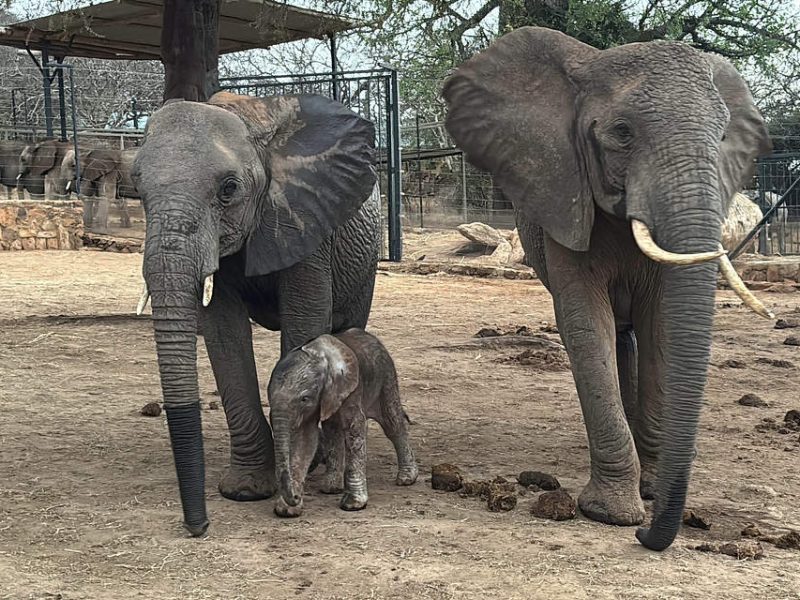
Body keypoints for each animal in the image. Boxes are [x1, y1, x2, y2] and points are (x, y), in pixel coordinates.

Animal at [131, 92, 380, 536]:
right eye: (136, 187)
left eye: (229, 189)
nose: (200, 527)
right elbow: (224, 333)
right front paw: (245, 490)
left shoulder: (306, 219)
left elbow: (305, 318)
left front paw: (301, 467)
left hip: (365, 259)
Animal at [268, 328, 418, 518]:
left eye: (304, 398)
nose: (295, 496)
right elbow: (306, 438)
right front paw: (287, 509)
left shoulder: (351, 389)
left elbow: (355, 428)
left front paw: (353, 505)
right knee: (333, 430)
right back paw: (331, 488)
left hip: (386, 375)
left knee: (392, 423)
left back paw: (406, 479)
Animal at [443, 27, 772, 551]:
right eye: (622, 133)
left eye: (722, 136)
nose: (646, 535)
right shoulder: (564, 199)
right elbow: (585, 322)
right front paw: (612, 513)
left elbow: (662, 325)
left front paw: (651, 491)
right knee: (615, 336)